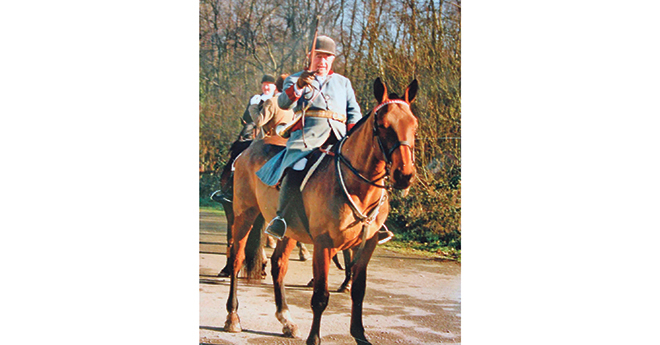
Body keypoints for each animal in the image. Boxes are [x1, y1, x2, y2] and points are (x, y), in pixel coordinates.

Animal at [222, 78, 418, 344]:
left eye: (414, 125)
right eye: (383, 125)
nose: (404, 175)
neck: (358, 186)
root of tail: (250, 148)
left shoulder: (366, 245)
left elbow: (358, 291)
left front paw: (359, 334)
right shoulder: (324, 243)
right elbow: (321, 296)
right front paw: (314, 338)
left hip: (288, 230)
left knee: (278, 265)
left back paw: (286, 319)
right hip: (244, 214)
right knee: (236, 258)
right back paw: (233, 316)